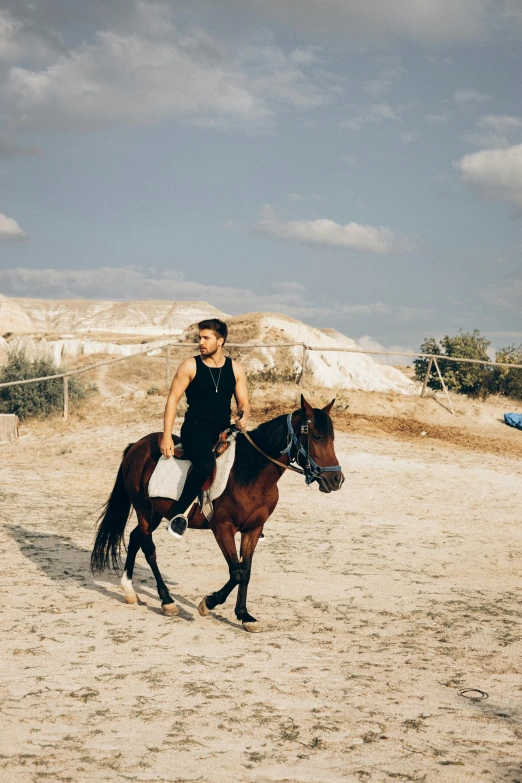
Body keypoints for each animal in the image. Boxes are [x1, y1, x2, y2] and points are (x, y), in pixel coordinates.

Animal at [90, 396, 342, 632]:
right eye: (316, 437)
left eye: (332, 438)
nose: (336, 479)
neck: (249, 474)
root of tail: (137, 446)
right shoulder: (222, 528)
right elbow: (236, 572)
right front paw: (208, 603)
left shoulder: (252, 530)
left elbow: (245, 571)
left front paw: (244, 615)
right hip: (143, 508)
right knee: (148, 548)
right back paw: (167, 600)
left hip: (156, 512)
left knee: (135, 538)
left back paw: (129, 591)